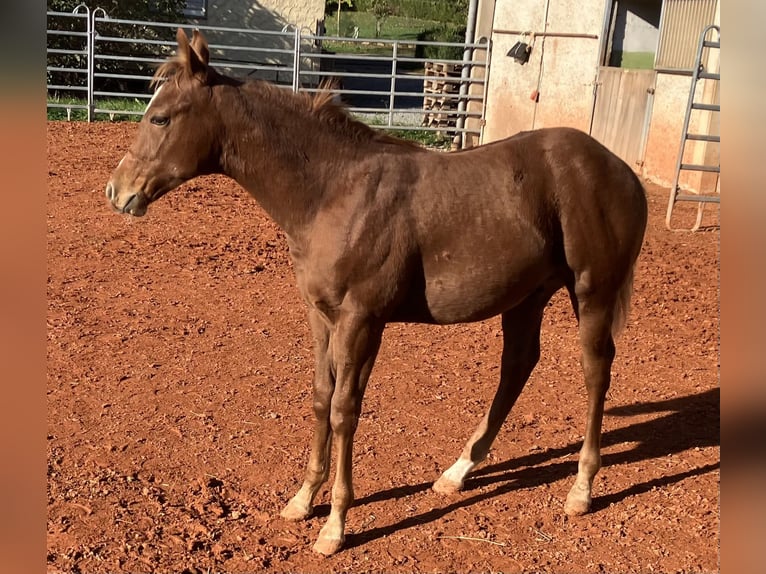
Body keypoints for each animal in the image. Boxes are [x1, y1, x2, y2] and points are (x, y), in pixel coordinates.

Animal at [105, 28, 647, 555]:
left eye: (160, 118)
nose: (117, 191)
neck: (333, 192)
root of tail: (622, 171)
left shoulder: (361, 319)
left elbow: (345, 411)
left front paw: (335, 526)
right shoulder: (321, 316)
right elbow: (321, 398)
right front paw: (303, 500)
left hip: (592, 292)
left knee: (595, 371)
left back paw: (581, 488)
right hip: (527, 297)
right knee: (517, 366)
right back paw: (458, 472)